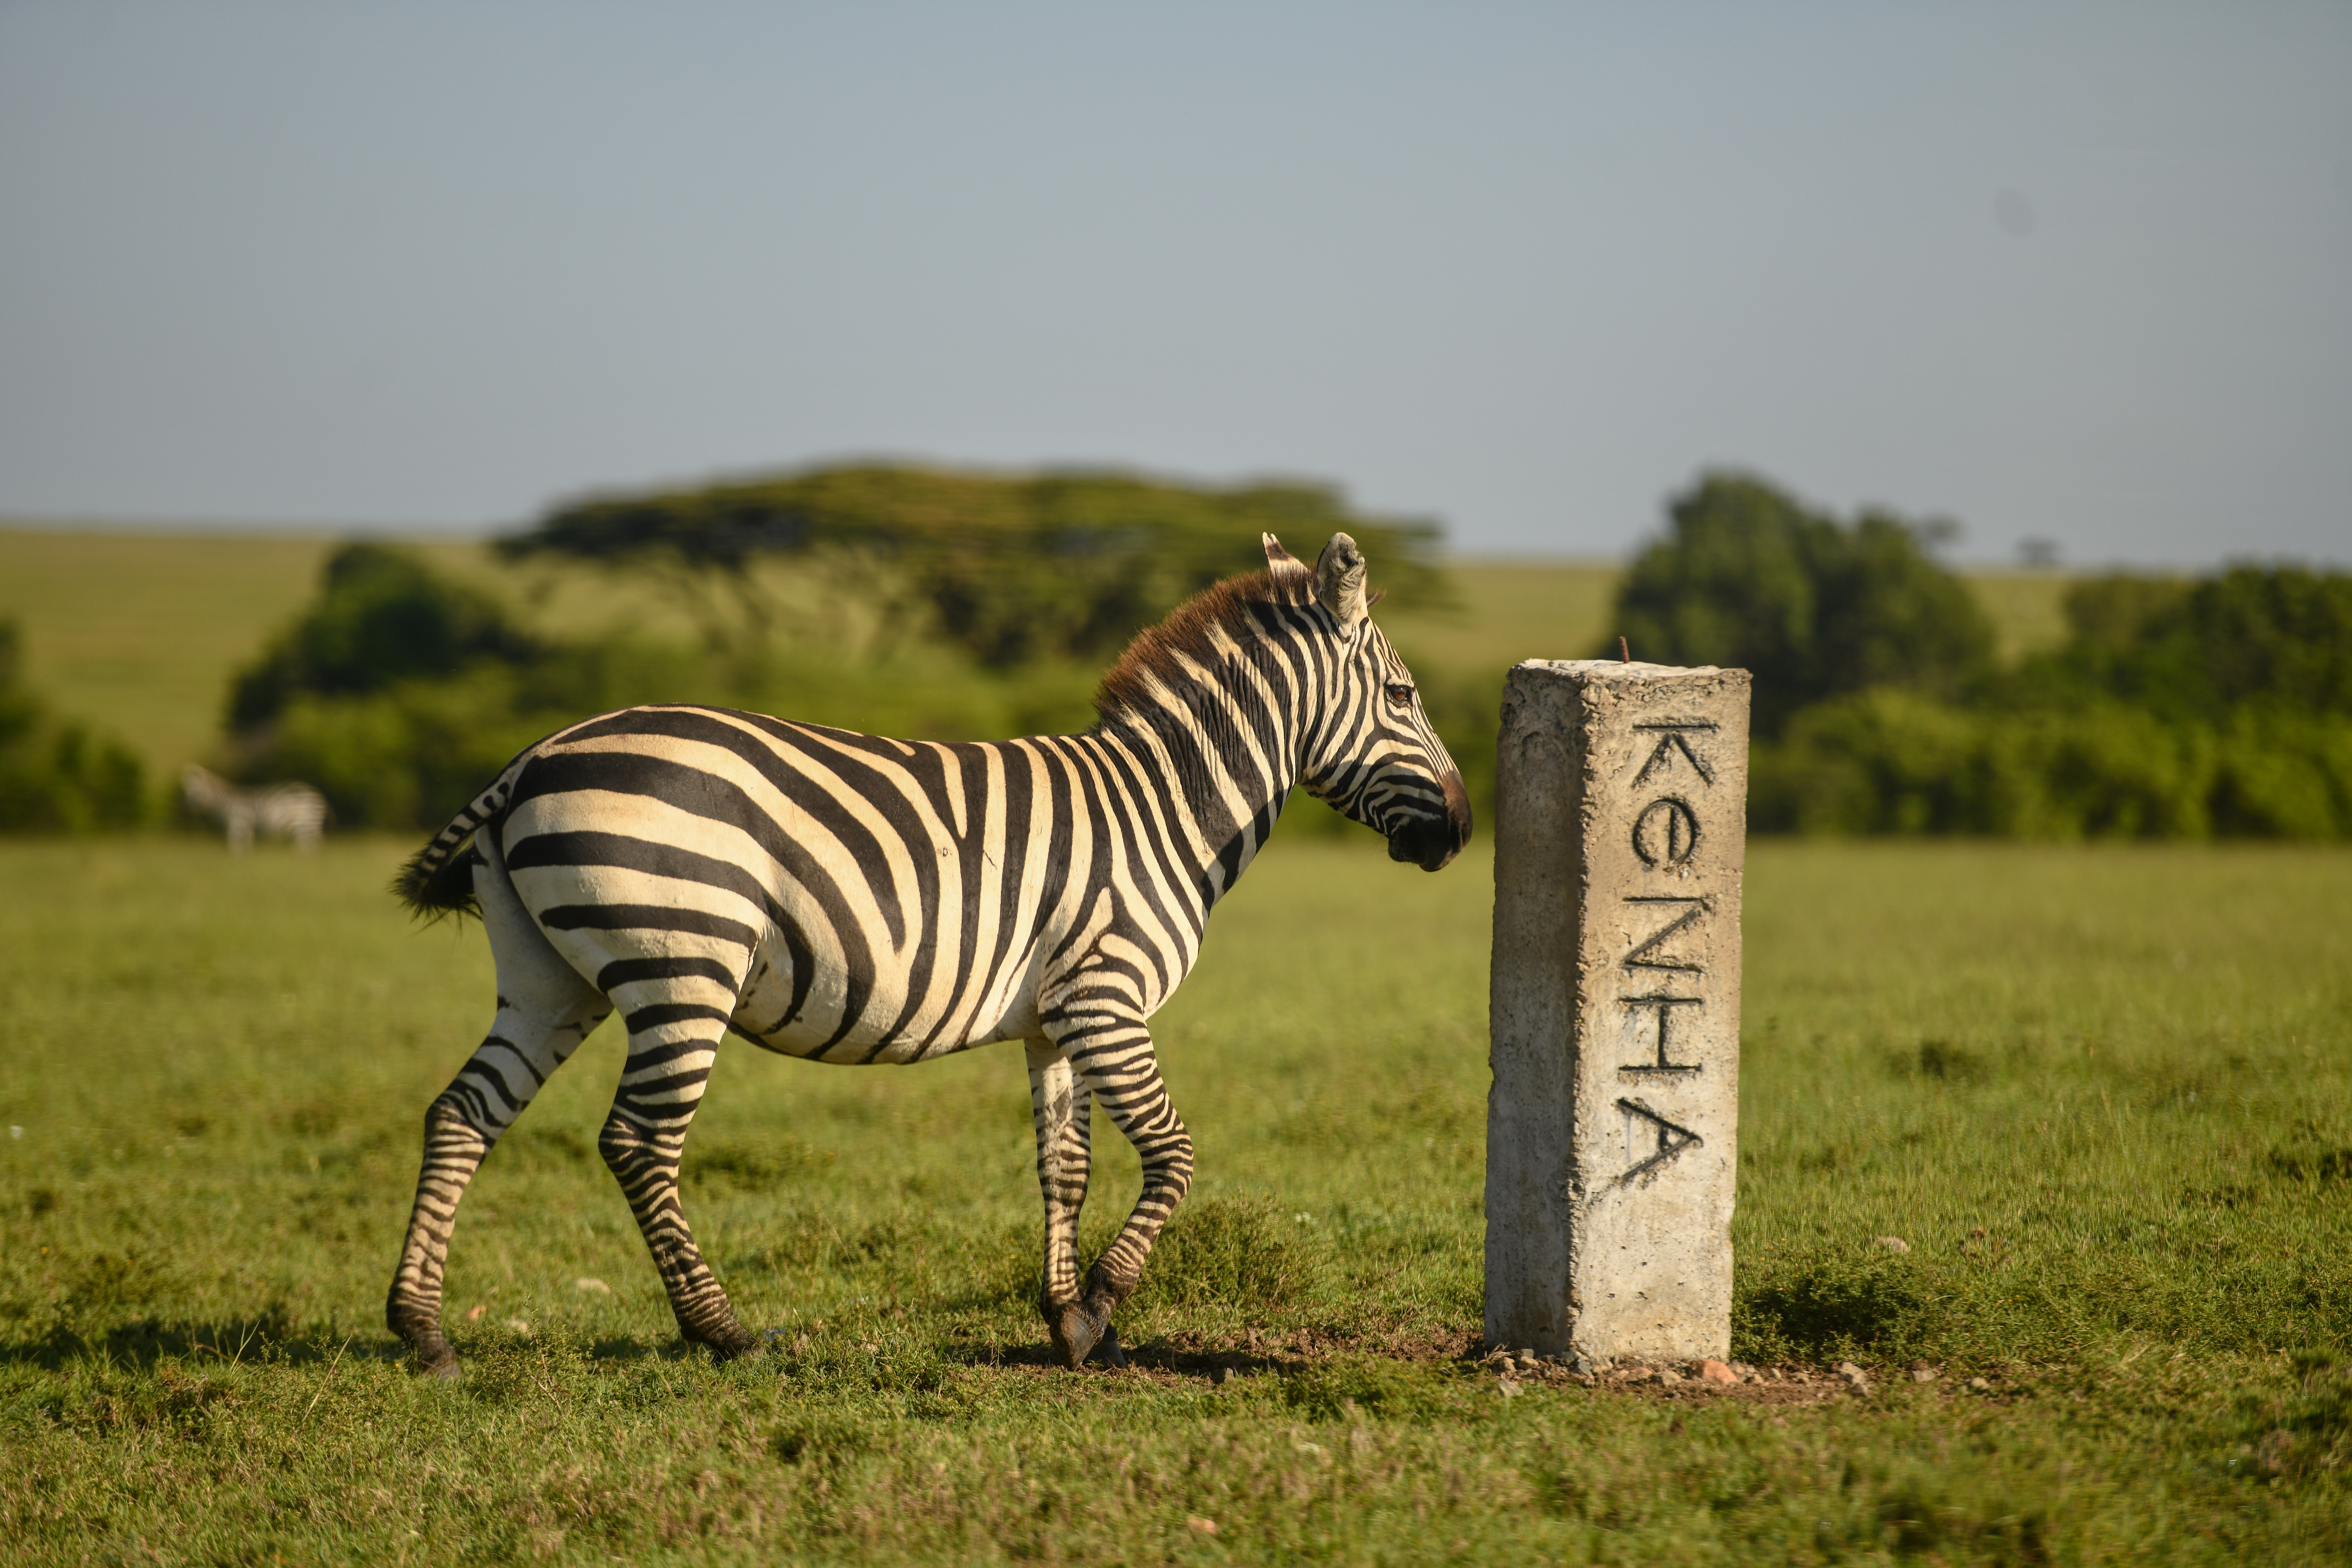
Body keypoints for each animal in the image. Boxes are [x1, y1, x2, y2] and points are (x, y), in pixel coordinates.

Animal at [181, 764, 328, 852]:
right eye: (186, 791)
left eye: (196, 791)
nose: (189, 809)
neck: (225, 802)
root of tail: (316, 793)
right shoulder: (245, 828)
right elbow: (246, 847)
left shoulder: (239, 825)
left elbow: (237, 849)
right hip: (307, 825)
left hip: (306, 823)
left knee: (308, 847)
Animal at [383, 531, 1470, 1376]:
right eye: (1403, 692)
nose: (1458, 833)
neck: (1164, 807)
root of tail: (533, 757)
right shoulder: (1108, 997)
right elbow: (1173, 1153)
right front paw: (1100, 1302)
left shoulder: (1055, 1018)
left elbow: (1065, 1166)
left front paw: (1068, 1324)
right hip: (683, 967)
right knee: (638, 1141)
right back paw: (721, 1331)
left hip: (550, 976)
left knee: (463, 1112)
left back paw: (425, 1331)